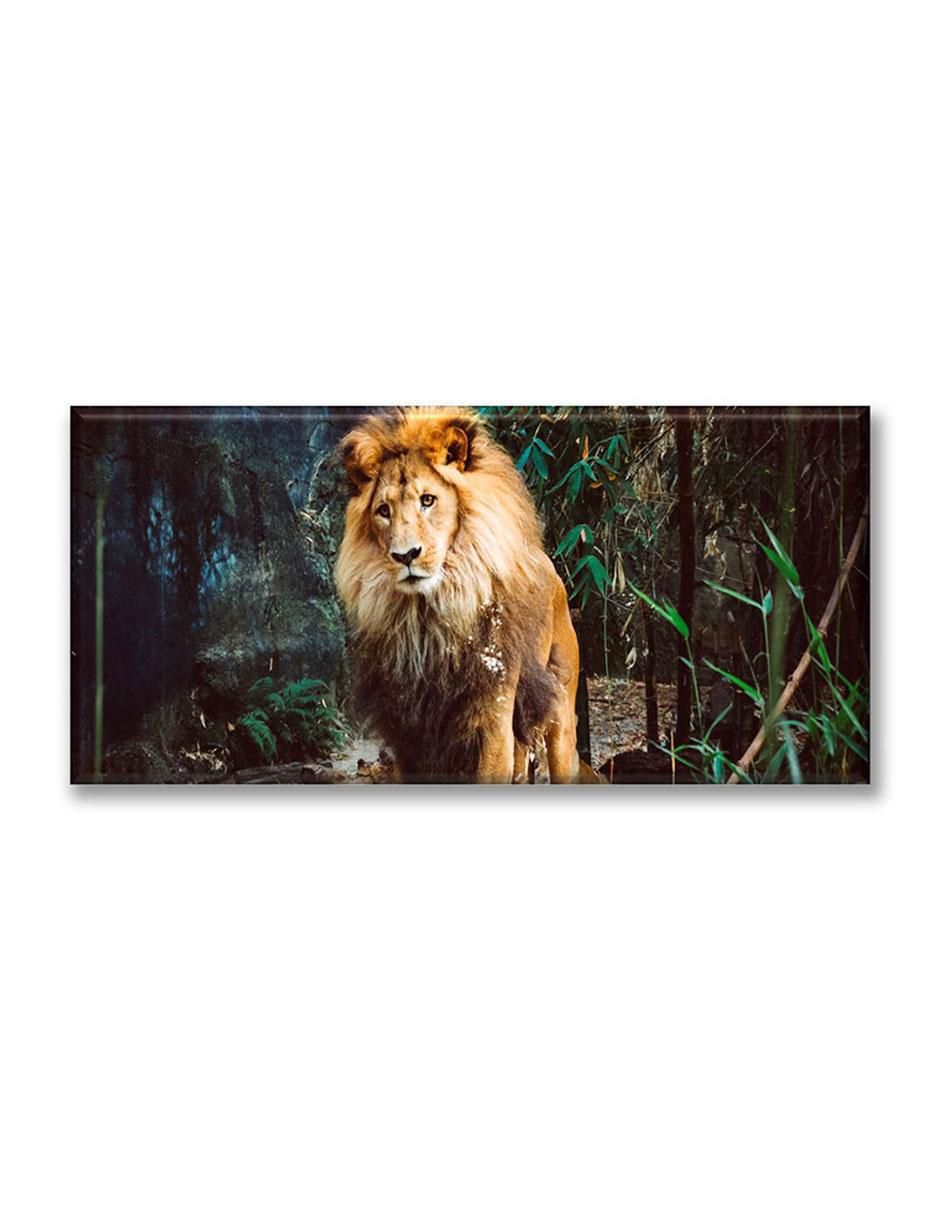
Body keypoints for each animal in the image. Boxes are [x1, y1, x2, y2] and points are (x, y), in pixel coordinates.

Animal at [334, 407, 584, 783]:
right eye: (383, 511)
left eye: (428, 500)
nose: (405, 555)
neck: (428, 617)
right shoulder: (407, 731)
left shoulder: (492, 719)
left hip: (561, 719)